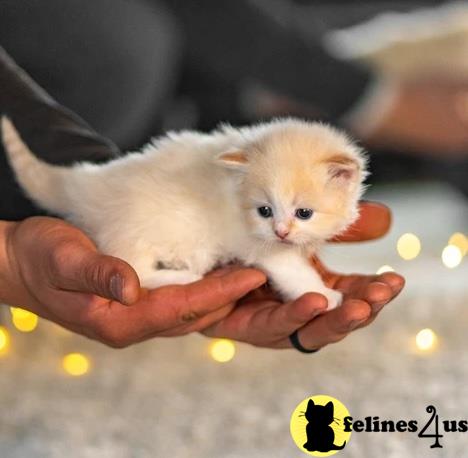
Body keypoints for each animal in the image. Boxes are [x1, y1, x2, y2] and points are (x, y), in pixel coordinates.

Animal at [0, 116, 366, 310]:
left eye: (304, 213)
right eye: (265, 211)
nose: (281, 231)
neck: (234, 191)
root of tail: (88, 183)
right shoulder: (260, 246)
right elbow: (293, 271)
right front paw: (324, 295)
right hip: (134, 231)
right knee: (136, 272)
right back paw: (181, 276)